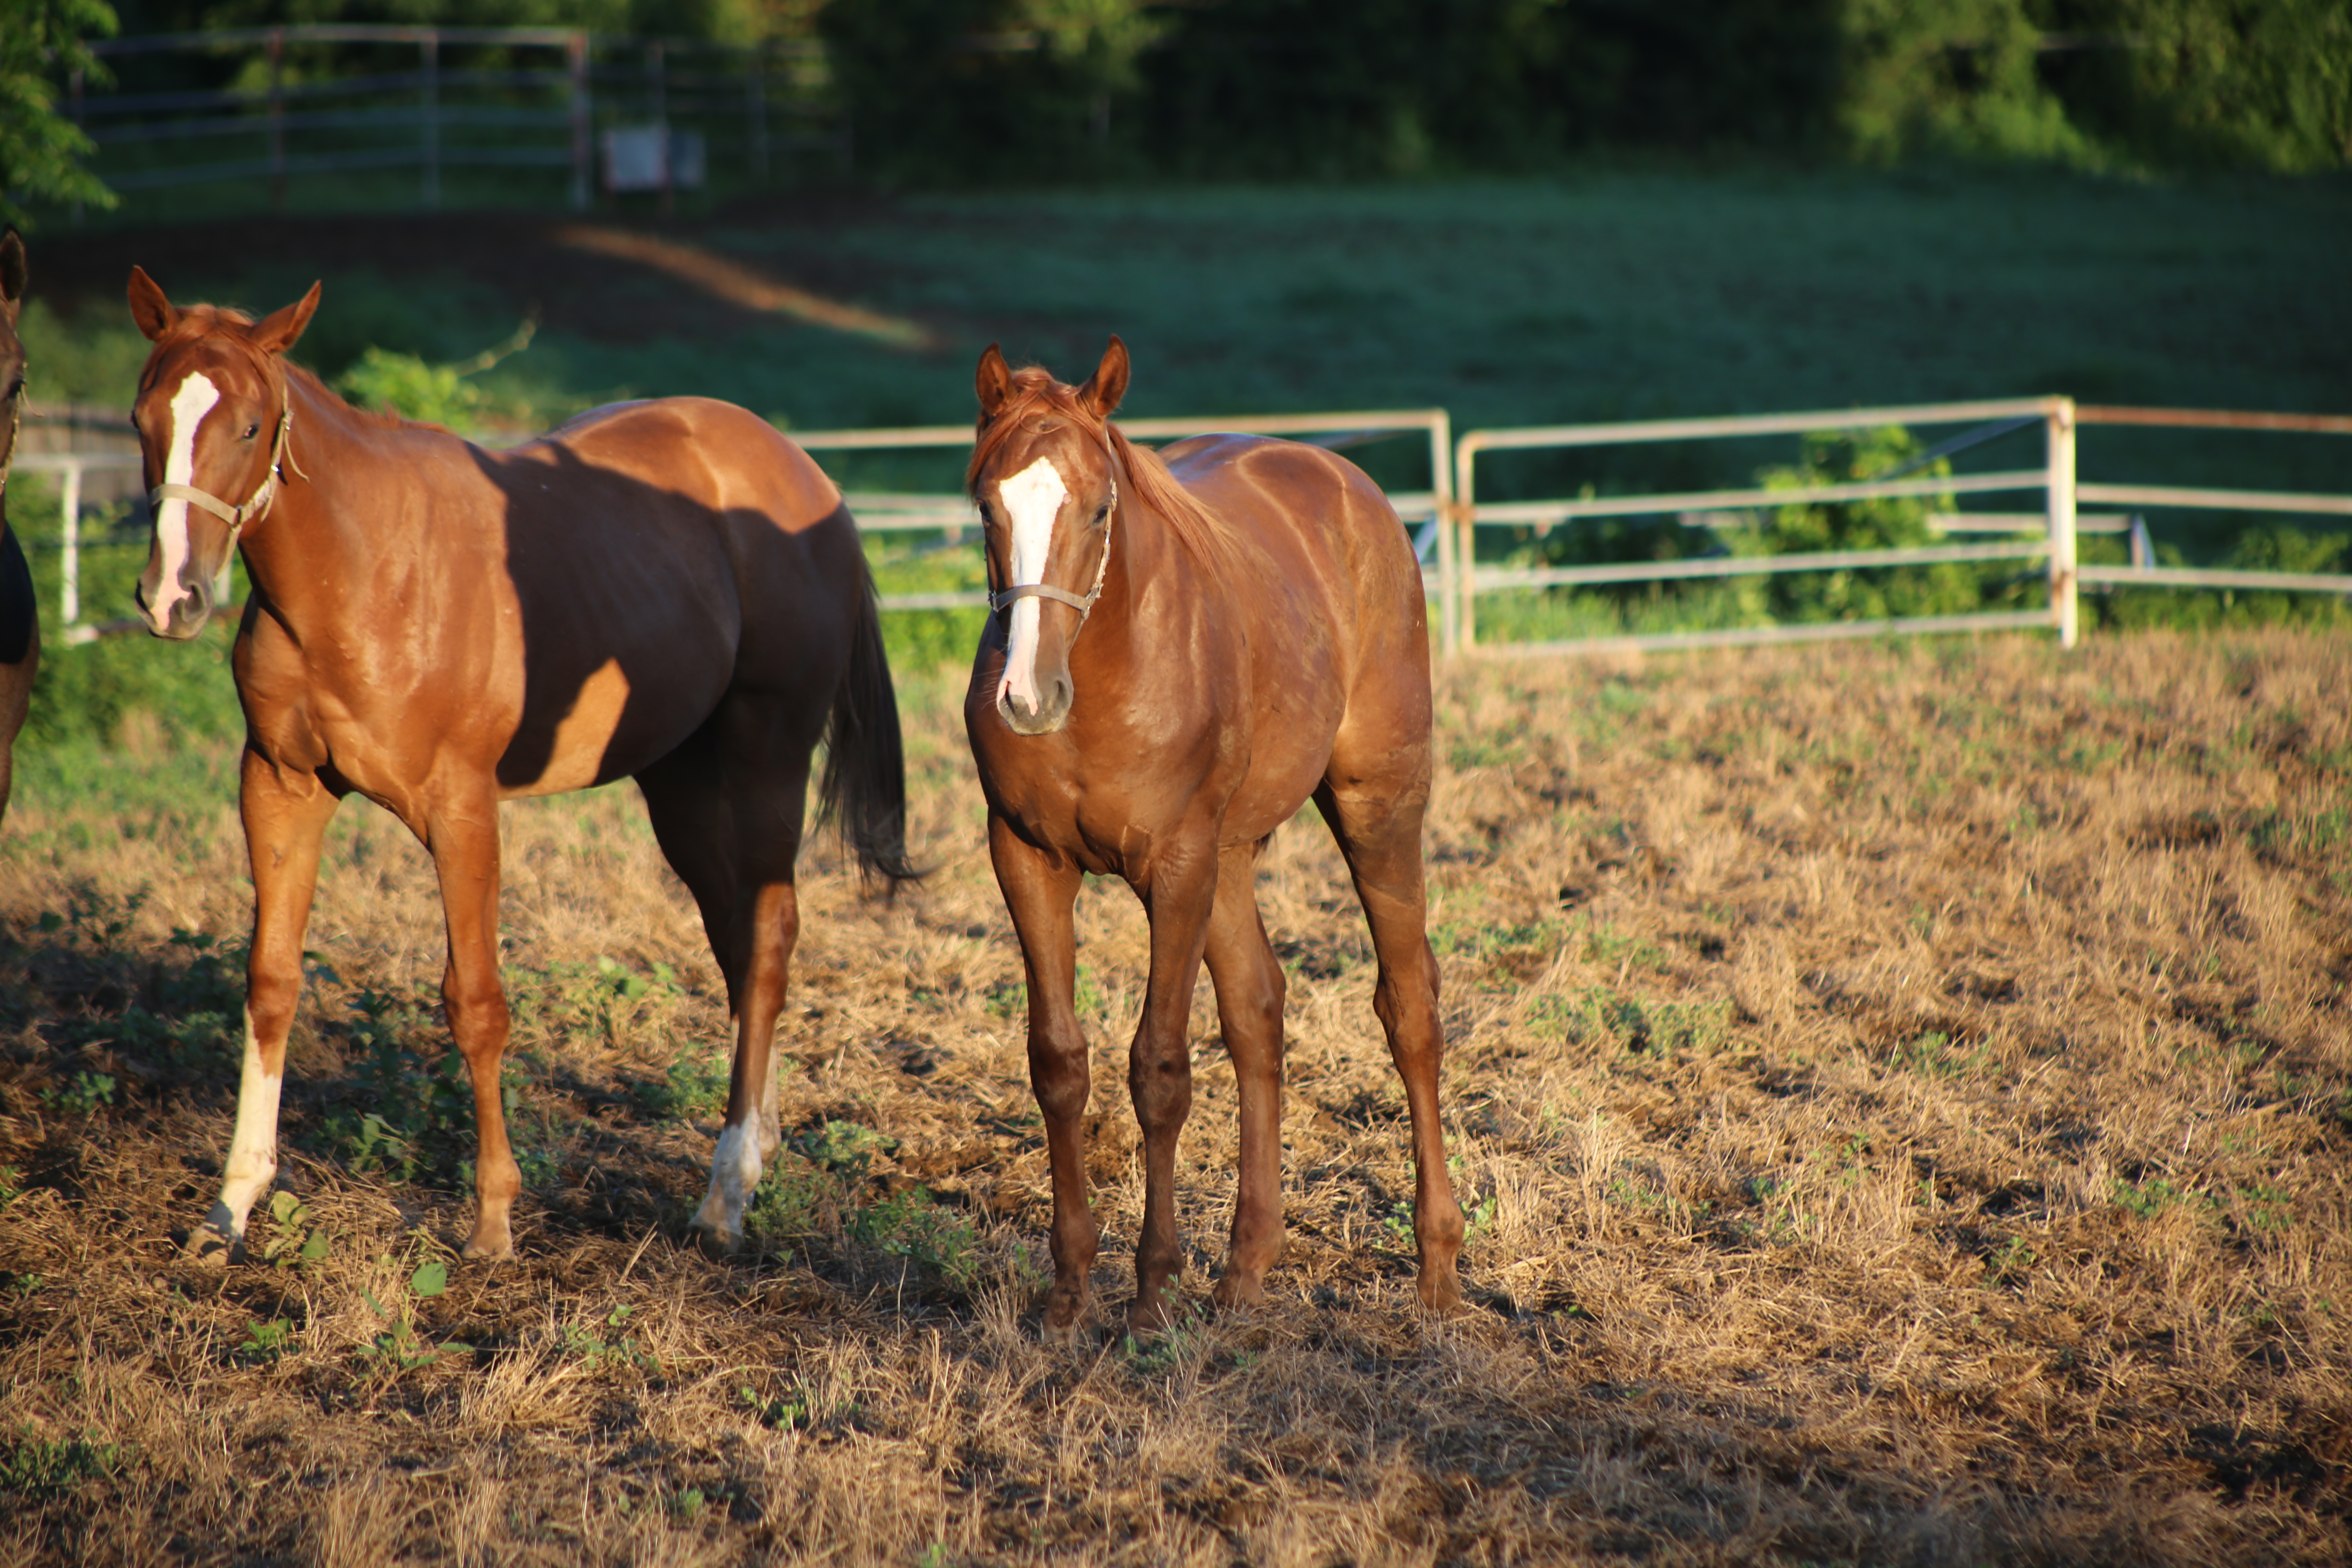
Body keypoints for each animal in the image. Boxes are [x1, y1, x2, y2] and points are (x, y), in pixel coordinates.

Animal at [124, 270, 917, 1269]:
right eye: (144, 417)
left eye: (252, 426)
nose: (172, 597)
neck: (364, 571)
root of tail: (810, 481)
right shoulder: (278, 786)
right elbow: (271, 983)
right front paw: (232, 1204)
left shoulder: (462, 808)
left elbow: (476, 1001)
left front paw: (494, 1221)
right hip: (682, 785)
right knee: (741, 944)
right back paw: (758, 1145)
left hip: (765, 758)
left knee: (769, 937)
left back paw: (726, 1193)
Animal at [964, 341, 1458, 1335]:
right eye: (987, 506)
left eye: (1101, 506)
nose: (1028, 698)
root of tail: (1346, 483)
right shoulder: (1028, 860)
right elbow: (1058, 1062)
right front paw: (1069, 1292)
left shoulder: (1176, 868)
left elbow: (1159, 1068)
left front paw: (1153, 1291)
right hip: (1232, 858)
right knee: (1259, 1014)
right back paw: (1246, 1270)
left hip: (1377, 806)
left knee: (1409, 1009)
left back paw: (1437, 1272)